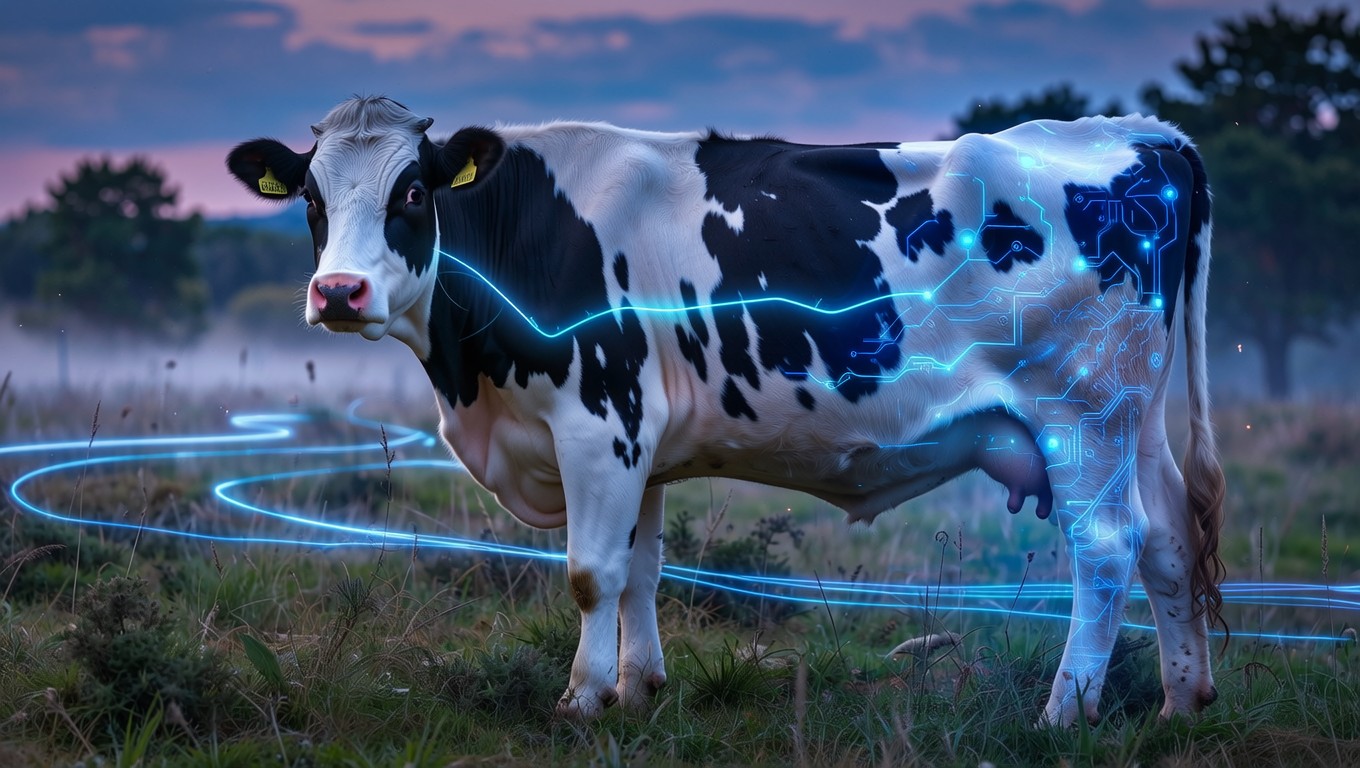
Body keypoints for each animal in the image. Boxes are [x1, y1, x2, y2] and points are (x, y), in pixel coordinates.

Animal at [226, 96, 1226, 727]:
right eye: (311, 197)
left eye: (411, 191)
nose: (338, 292)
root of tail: (1135, 131)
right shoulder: (641, 445)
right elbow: (641, 572)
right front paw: (638, 690)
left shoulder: (597, 421)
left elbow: (590, 573)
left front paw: (581, 700)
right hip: (1131, 419)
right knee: (1171, 541)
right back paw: (1181, 703)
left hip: (1081, 412)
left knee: (1108, 548)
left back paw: (1065, 710)